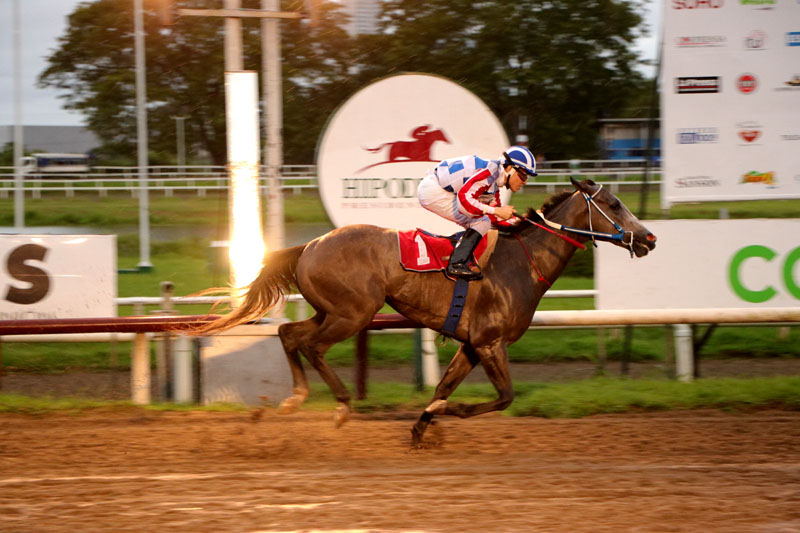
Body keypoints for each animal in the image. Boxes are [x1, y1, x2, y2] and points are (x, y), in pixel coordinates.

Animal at [198, 177, 656, 442]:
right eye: (614, 204)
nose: (649, 238)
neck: (521, 263)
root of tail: (309, 245)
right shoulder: (490, 343)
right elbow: (504, 397)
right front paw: (441, 415)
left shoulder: (470, 345)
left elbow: (442, 388)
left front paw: (422, 426)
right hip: (354, 314)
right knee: (311, 346)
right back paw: (341, 405)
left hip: (331, 310)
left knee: (289, 335)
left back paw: (294, 399)